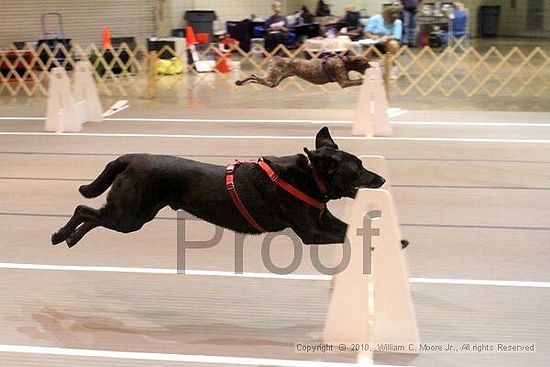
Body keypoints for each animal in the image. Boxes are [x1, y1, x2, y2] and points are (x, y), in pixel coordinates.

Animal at [50, 128, 406, 249]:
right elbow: (345, 233)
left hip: (131, 213)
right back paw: (61, 235)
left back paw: (68, 238)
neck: (310, 178)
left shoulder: (322, 218)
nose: (381, 180)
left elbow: (347, 225)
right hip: (130, 216)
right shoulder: (311, 231)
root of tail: (130, 158)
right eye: (358, 170)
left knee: (91, 214)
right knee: (86, 210)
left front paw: (393, 238)